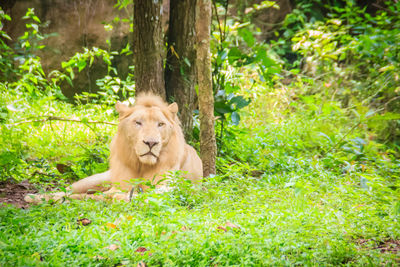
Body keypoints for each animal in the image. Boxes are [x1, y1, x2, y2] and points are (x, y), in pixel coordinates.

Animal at [25, 93, 203, 203]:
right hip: (95, 179)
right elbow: (104, 195)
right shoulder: (117, 185)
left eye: (160, 124)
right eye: (138, 123)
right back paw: (36, 197)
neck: (141, 165)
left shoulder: (167, 186)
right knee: (68, 190)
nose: (151, 143)